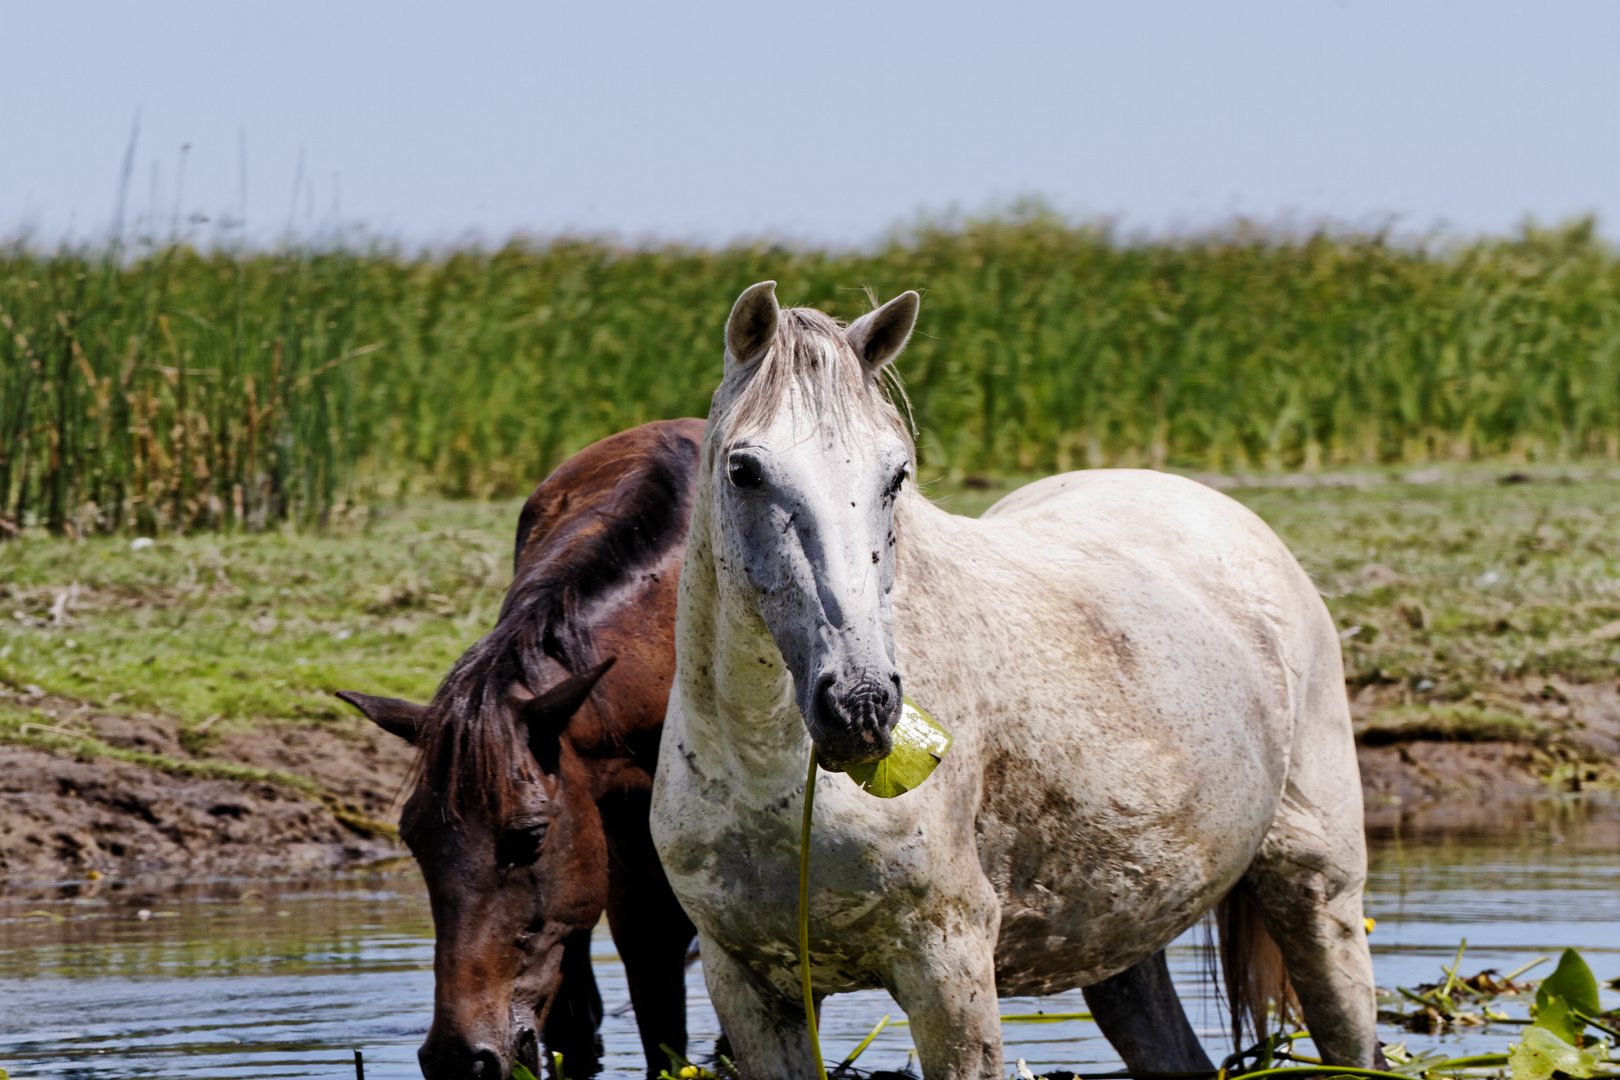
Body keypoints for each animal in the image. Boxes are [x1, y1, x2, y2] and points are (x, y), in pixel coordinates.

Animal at [651, 283, 1386, 1075]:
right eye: (744, 471)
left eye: (896, 475)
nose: (863, 704)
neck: (764, 775)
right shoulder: (749, 989)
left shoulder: (949, 969)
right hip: (1120, 936)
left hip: (1319, 898)